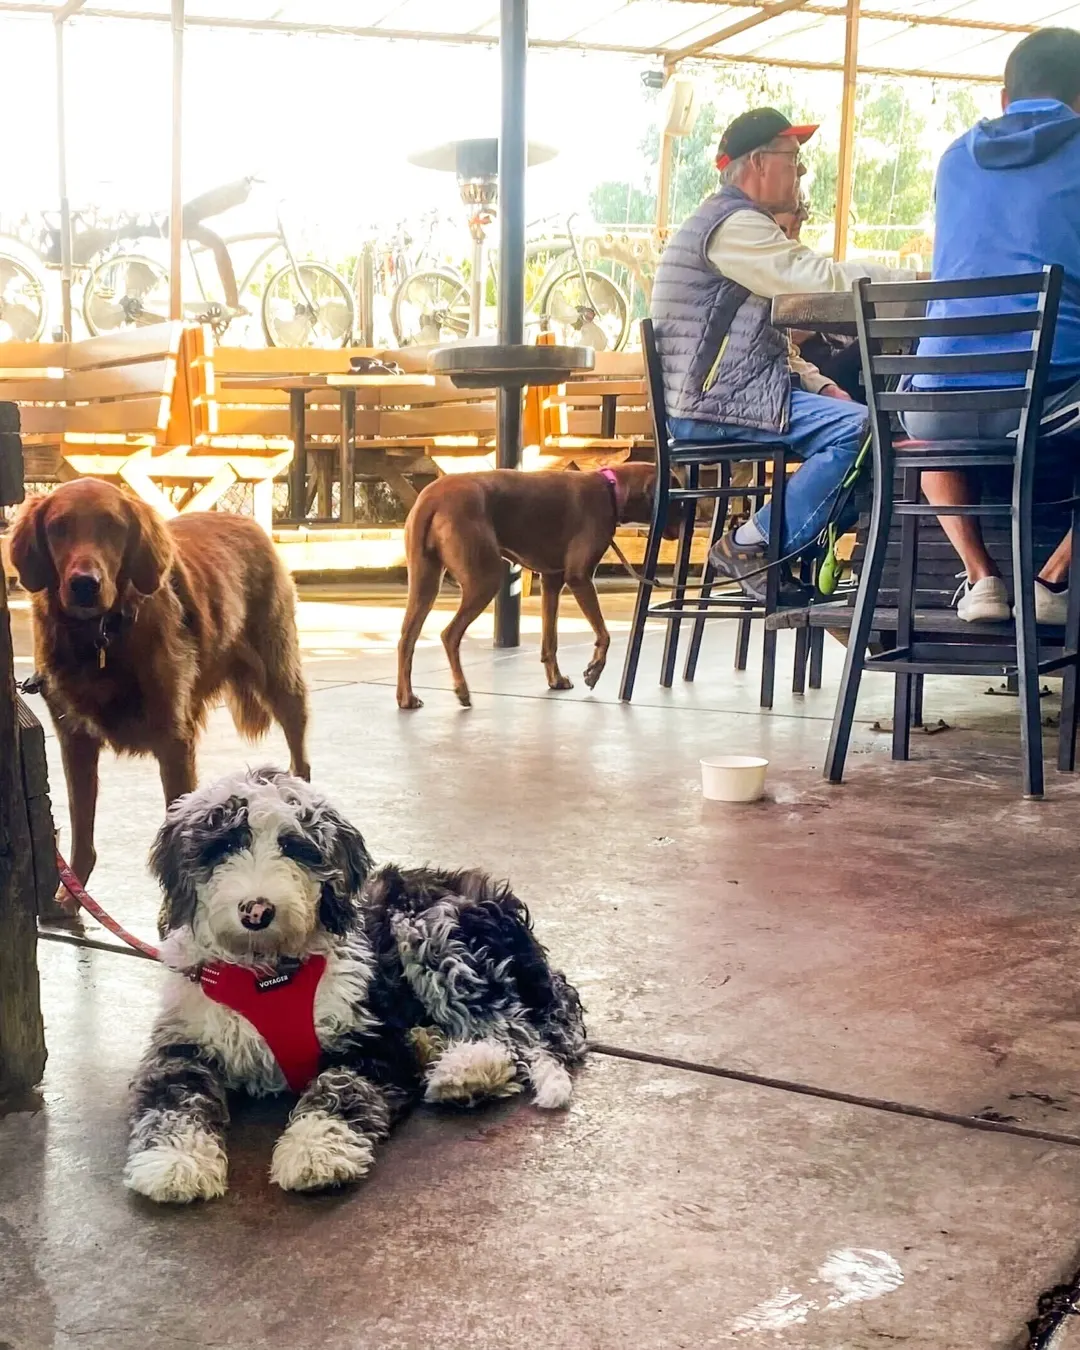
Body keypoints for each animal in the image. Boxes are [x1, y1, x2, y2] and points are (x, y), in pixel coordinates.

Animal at [11, 480, 307, 891]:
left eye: (113, 526)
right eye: (58, 527)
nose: (85, 585)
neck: (101, 637)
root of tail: (248, 522)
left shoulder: (173, 743)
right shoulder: (76, 741)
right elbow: (83, 835)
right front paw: (69, 896)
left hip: (279, 676)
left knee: (300, 746)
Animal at [122, 772, 585, 1204]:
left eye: (295, 848)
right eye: (221, 847)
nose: (256, 911)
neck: (267, 975)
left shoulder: (370, 1041)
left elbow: (339, 1087)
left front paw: (315, 1152)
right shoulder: (182, 1044)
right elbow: (171, 1098)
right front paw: (174, 1161)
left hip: (434, 931)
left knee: (516, 1033)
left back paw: (466, 1072)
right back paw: (432, 1046)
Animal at [391, 464, 669, 712]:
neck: (610, 489)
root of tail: (431, 497)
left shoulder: (552, 581)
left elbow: (550, 640)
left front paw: (556, 680)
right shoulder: (580, 578)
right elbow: (604, 635)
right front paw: (594, 671)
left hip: (425, 583)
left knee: (407, 638)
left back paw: (406, 698)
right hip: (484, 580)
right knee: (449, 635)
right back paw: (462, 690)